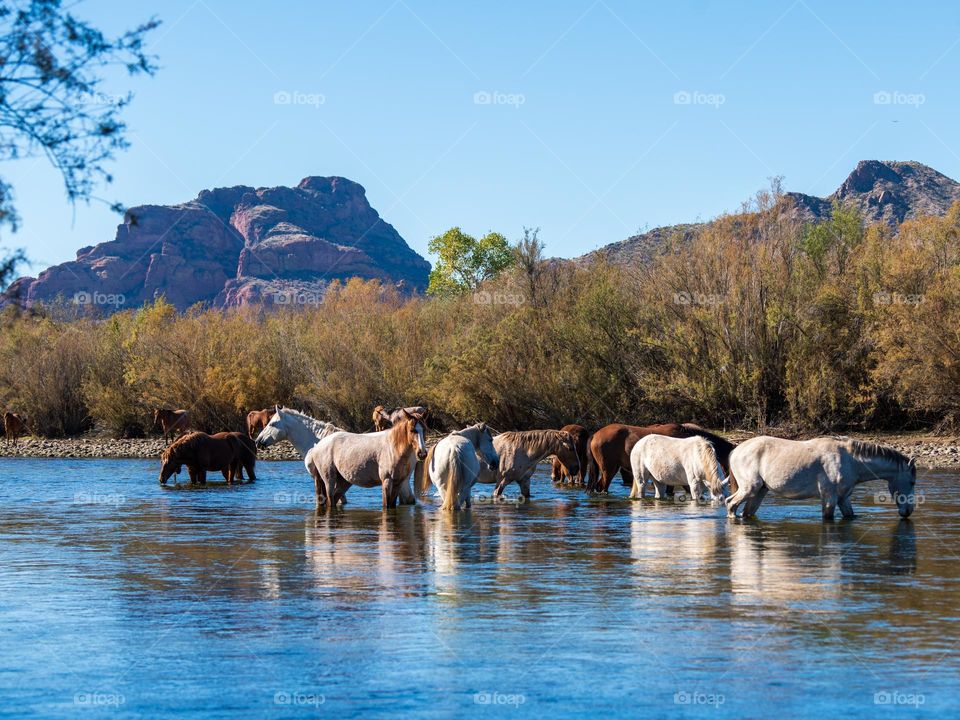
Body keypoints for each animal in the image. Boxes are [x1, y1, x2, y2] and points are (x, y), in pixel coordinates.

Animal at [724, 436, 917, 521]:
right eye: (912, 482)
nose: (908, 511)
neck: (850, 460)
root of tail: (736, 450)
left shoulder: (843, 498)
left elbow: (850, 516)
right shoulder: (829, 498)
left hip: (760, 492)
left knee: (747, 512)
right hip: (750, 488)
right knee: (730, 503)